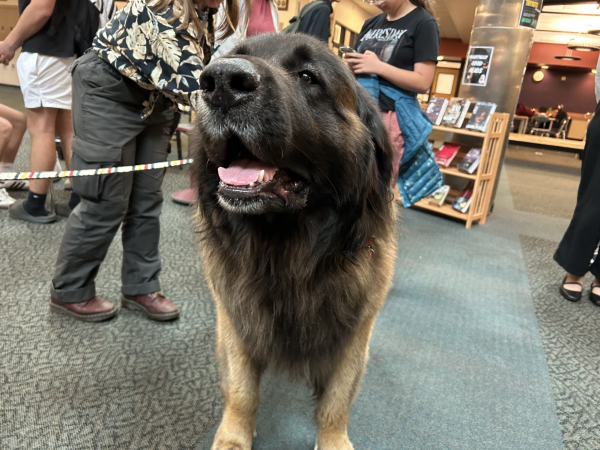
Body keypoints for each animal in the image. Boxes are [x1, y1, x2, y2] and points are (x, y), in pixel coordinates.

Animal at [192, 33, 396, 448]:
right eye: (234, 57)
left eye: (307, 76)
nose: (220, 82)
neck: (286, 255)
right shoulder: (236, 321)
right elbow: (241, 390)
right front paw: (234, 436)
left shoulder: (353, 335)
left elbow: (336, 401)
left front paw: (333, 440)